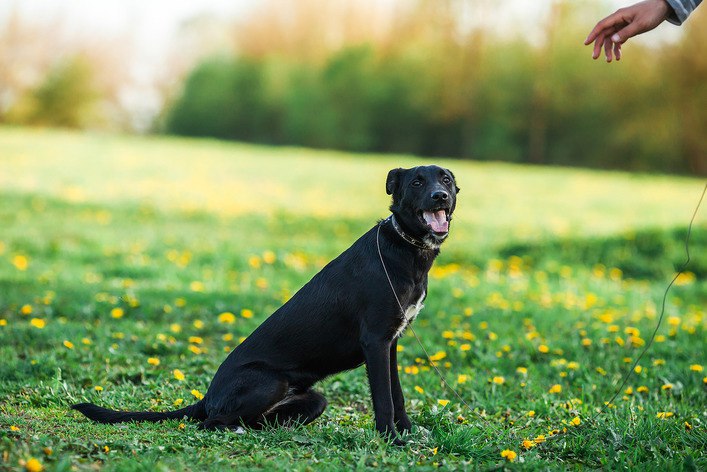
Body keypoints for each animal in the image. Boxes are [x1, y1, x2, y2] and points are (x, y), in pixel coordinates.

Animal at [70, 164, 460, 444]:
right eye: (416, 182)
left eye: (446, 179)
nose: (440, 196)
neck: (406, 247)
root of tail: (206, 397)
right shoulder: (375, 341)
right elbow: (383, 398)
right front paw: (392, 440)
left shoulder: (391, 342)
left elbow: (397, 394)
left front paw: (407, 431)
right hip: (267, 382)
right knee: (211, 423)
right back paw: (233, 429)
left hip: (312, 399)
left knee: (262, 422)